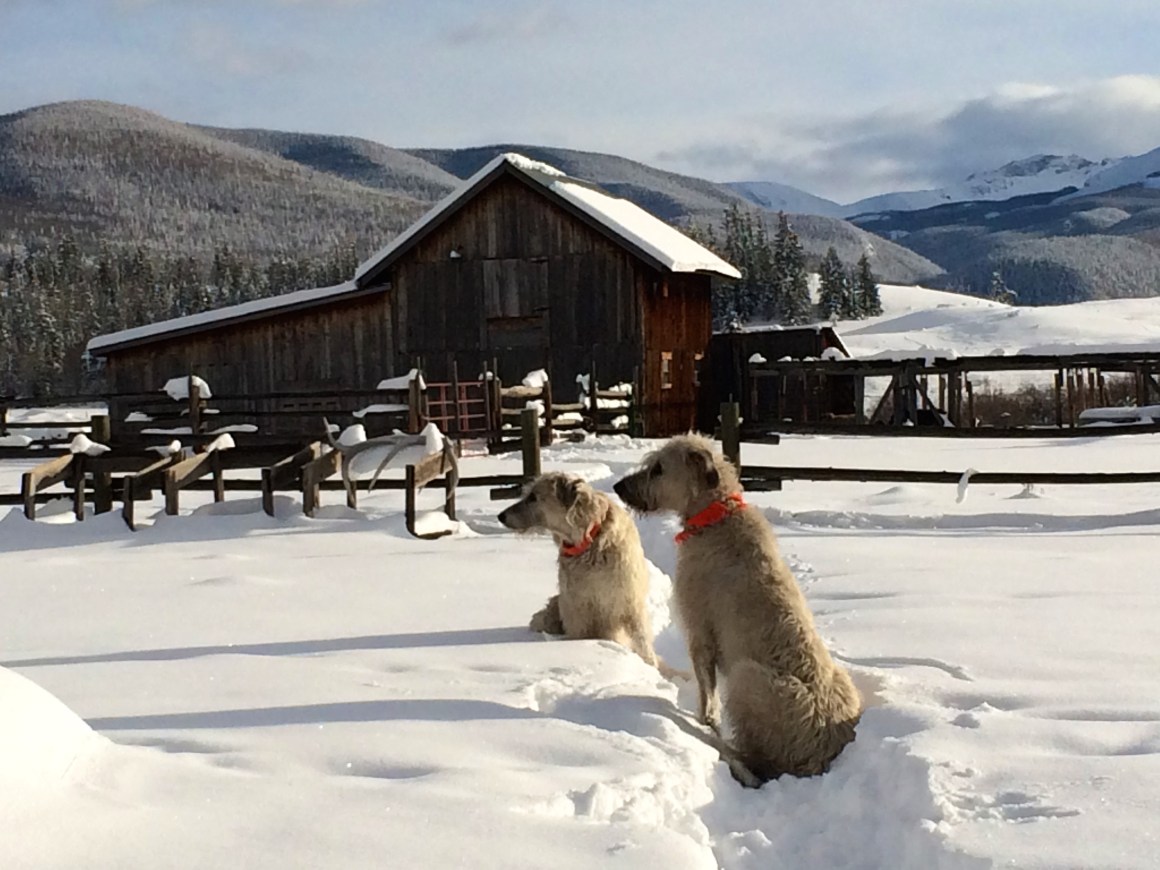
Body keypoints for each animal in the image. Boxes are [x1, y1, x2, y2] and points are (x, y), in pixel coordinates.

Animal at [498, 470, 658, 668]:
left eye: (533, 497)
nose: (500, 516)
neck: (588, 543)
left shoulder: (630, 601)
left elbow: (642, 639)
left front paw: (650, 664)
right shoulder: (576, 607)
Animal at [617, 438, 863, 788]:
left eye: (658, 468)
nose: (618, 487)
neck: (715, 515)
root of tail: (822, 755)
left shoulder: (699, 630)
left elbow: (708, 696)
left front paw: (704, 723)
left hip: (748, 678)